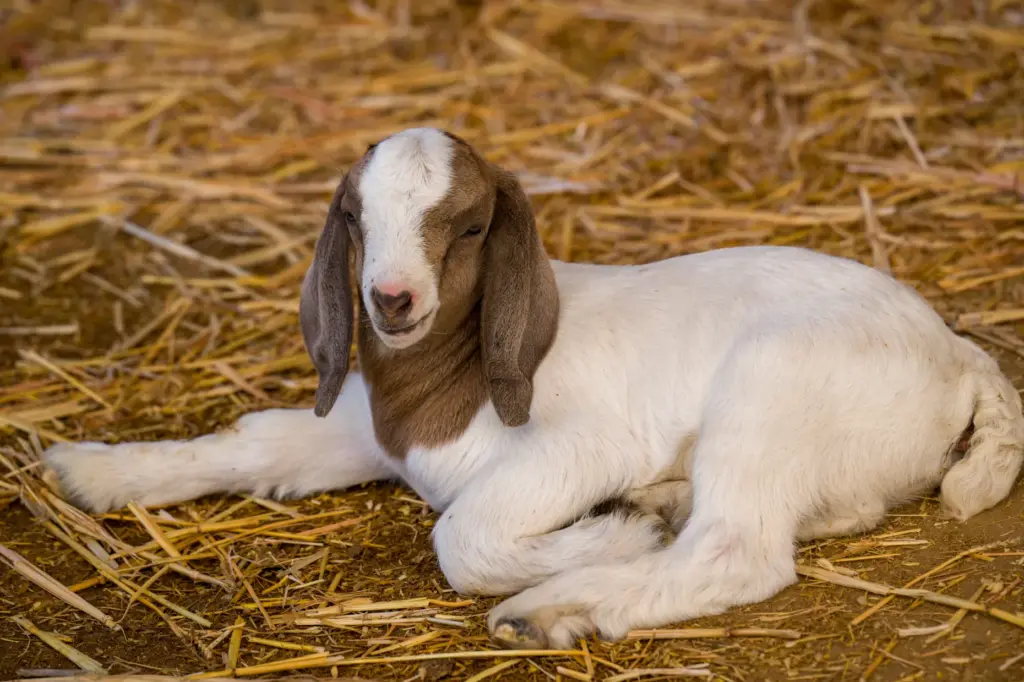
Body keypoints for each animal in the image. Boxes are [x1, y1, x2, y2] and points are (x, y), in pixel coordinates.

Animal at [43, 127, 1024, 649]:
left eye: (471, 226)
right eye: (355, 219)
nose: (391, 302)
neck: (455, 383)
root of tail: (957, 354)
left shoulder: (581, 443)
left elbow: (461, 537)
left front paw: (610, 534)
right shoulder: (359, 424)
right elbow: (254, 444)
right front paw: (93, 470)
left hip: (772, 383)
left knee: (738, 547)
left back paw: (559, 605)